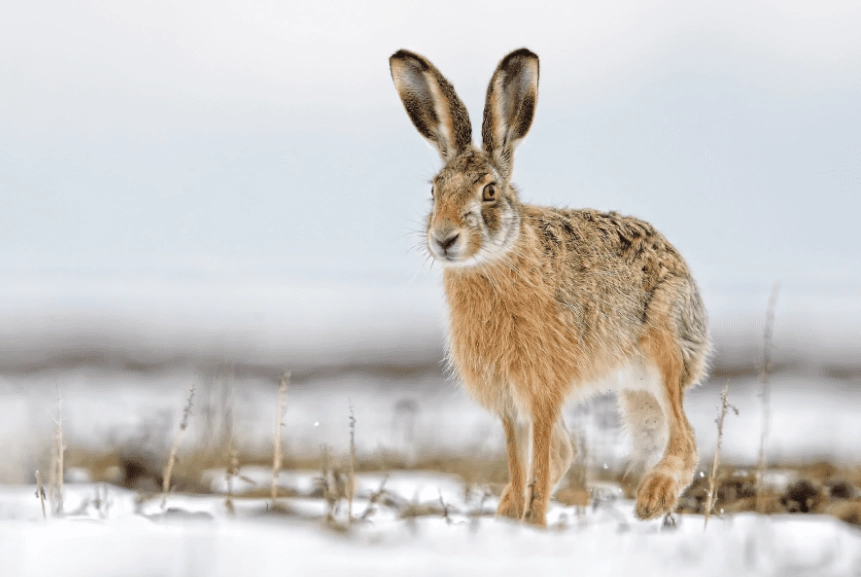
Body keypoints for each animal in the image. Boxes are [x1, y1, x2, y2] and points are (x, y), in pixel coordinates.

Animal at [389, 48, 711, 526]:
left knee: (684, 438)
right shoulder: (510, 403)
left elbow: (538, 459)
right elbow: (521, 458)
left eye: (489, 191)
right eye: (434, 190)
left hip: (665, 348)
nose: (444, 238)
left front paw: (535, 523)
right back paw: (508, 507)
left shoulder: (542, 389)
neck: (497, 261)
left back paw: (653, 498)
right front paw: (517, 521)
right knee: (569, 447)